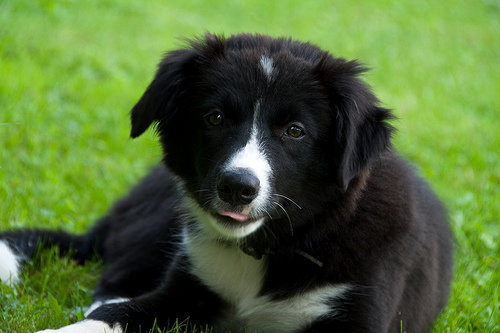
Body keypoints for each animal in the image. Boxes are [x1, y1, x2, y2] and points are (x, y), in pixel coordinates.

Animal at [0, 33, 454, 332]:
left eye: (295, 131)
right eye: (215, 117)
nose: (237, 187)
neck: (272, 247)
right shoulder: (187, 288)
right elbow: (114, 316)